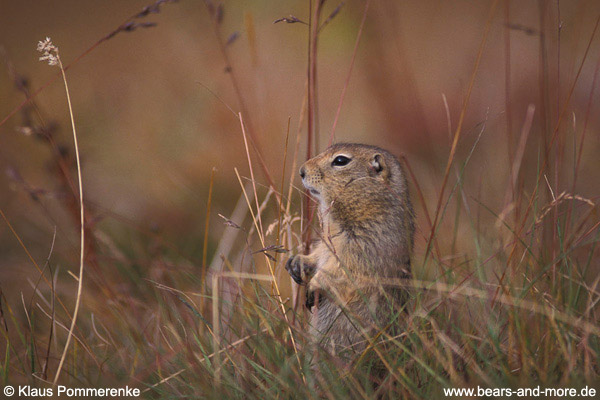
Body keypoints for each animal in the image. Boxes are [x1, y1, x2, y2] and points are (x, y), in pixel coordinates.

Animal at [286, 143, 412, 360]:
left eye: (340, 160)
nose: (302, 171)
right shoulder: (328, 241)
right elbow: (319, 253)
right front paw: (297, 262)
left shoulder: (365, 243)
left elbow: (343, 269)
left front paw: (313, 286)